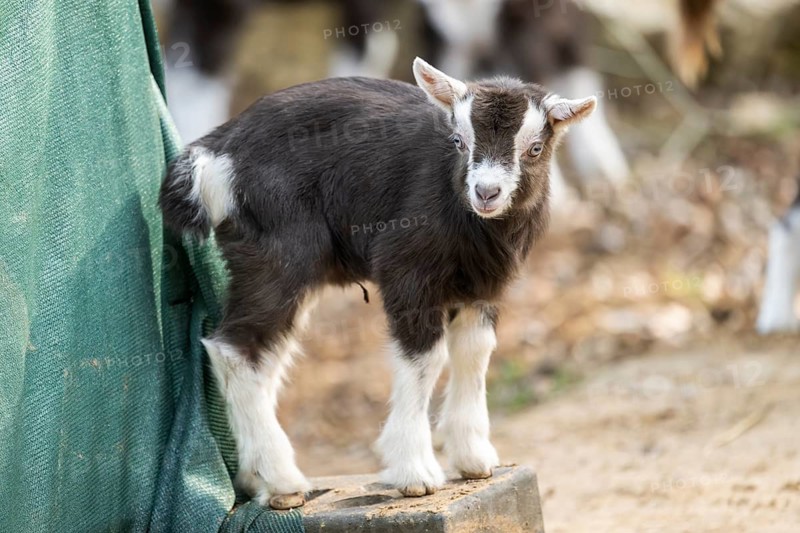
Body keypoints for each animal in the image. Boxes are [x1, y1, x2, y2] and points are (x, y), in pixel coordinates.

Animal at [159, 58, 596, 509]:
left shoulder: (484, 286)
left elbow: (475, 351)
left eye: (535, 148)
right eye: (458, 141)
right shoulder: (406, 270)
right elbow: (426, 358)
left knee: (267, 356)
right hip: (276, 254)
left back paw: (257, 478)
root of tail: (214, 151)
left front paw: (474, 458)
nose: (486, 192)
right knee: (235, 349)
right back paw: (281, 481)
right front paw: (415, 472)